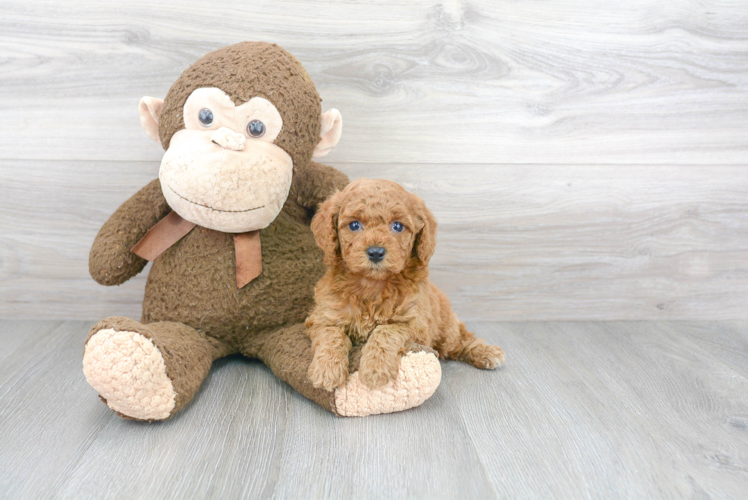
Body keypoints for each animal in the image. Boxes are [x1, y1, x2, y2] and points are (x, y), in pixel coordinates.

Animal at [306, 178, 506, 392]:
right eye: (354, 225)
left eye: (397, 226)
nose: (375, 252)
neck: (372, 285)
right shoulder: (322, 317)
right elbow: (330, 335)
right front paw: (326, 370)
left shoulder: (416, 324)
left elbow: (385, 331)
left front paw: (375, 369)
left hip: (445, 330)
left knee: (460, 341)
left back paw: (486, 353)